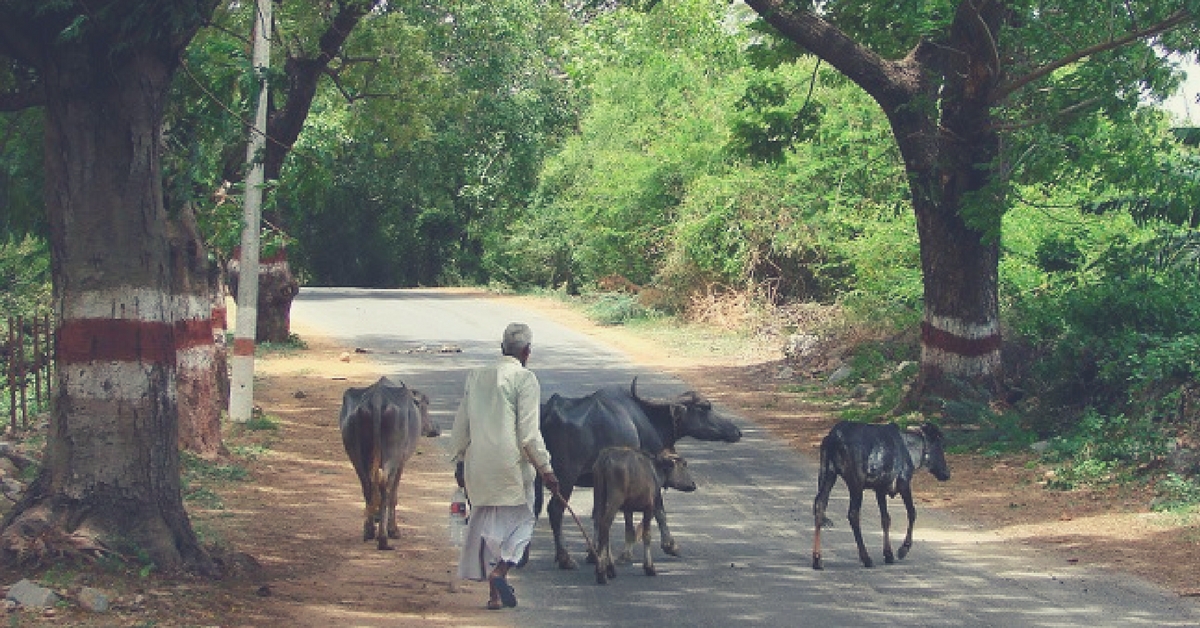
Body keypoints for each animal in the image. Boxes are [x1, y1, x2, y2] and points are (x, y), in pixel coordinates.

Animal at [338, 379, 441, 549]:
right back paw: (384, 537)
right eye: (425, 404)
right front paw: (392, 529)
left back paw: (369, 531)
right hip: (393, 456)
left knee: (368, 486)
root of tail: (377, 398)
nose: (436, 429)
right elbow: (394, 494)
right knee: (385, 486)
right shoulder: (401, 462)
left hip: (355, 454)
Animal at [537, 379, 739, 569]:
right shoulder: (649, 476)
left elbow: (599, 514)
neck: (649, 420)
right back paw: (565, 558)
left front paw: (595, 553)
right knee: (555, 509)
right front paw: (669, 545)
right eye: (705, 407)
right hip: (565, 477)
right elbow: (656, 509)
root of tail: (549, 410)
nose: (737, 431)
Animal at [811, 422, 950, 569]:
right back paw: (866, 558)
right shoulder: (904, 483)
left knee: (820, 505)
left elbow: (886, 519)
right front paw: (903, 549)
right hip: (856, 483)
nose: (946, 473)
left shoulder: (880, 489)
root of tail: (833, 437)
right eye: (939, 446)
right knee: (853, 514)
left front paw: (888, 554)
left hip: (828, 473)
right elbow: (912, 513)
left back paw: (817, 558)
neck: (911, 452)